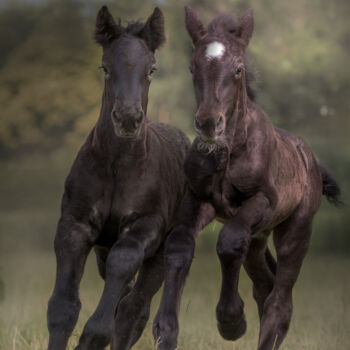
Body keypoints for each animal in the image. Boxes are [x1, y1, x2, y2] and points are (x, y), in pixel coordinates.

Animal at [46, 6, 190, 350]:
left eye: (151, 69)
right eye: (105, 68)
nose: (127, 118)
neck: (117, 167)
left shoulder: (145, 226)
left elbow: (123, 268)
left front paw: (92, 338)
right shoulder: (75, 224)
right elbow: (62, 307)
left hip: (163, 252)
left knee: (135, 306)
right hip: (102, 249)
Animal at [154, 7, 342, 350]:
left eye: (239, 69)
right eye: (192, 67)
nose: (209, 123)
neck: (228, 152)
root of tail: (310, 159)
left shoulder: (261, 201)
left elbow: (228, 243)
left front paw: (231, 321)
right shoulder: (199, 200)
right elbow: (179, 245)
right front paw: (165, 329)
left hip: (295, 229)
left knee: (280, 297)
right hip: (258, 237)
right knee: (264, 282)